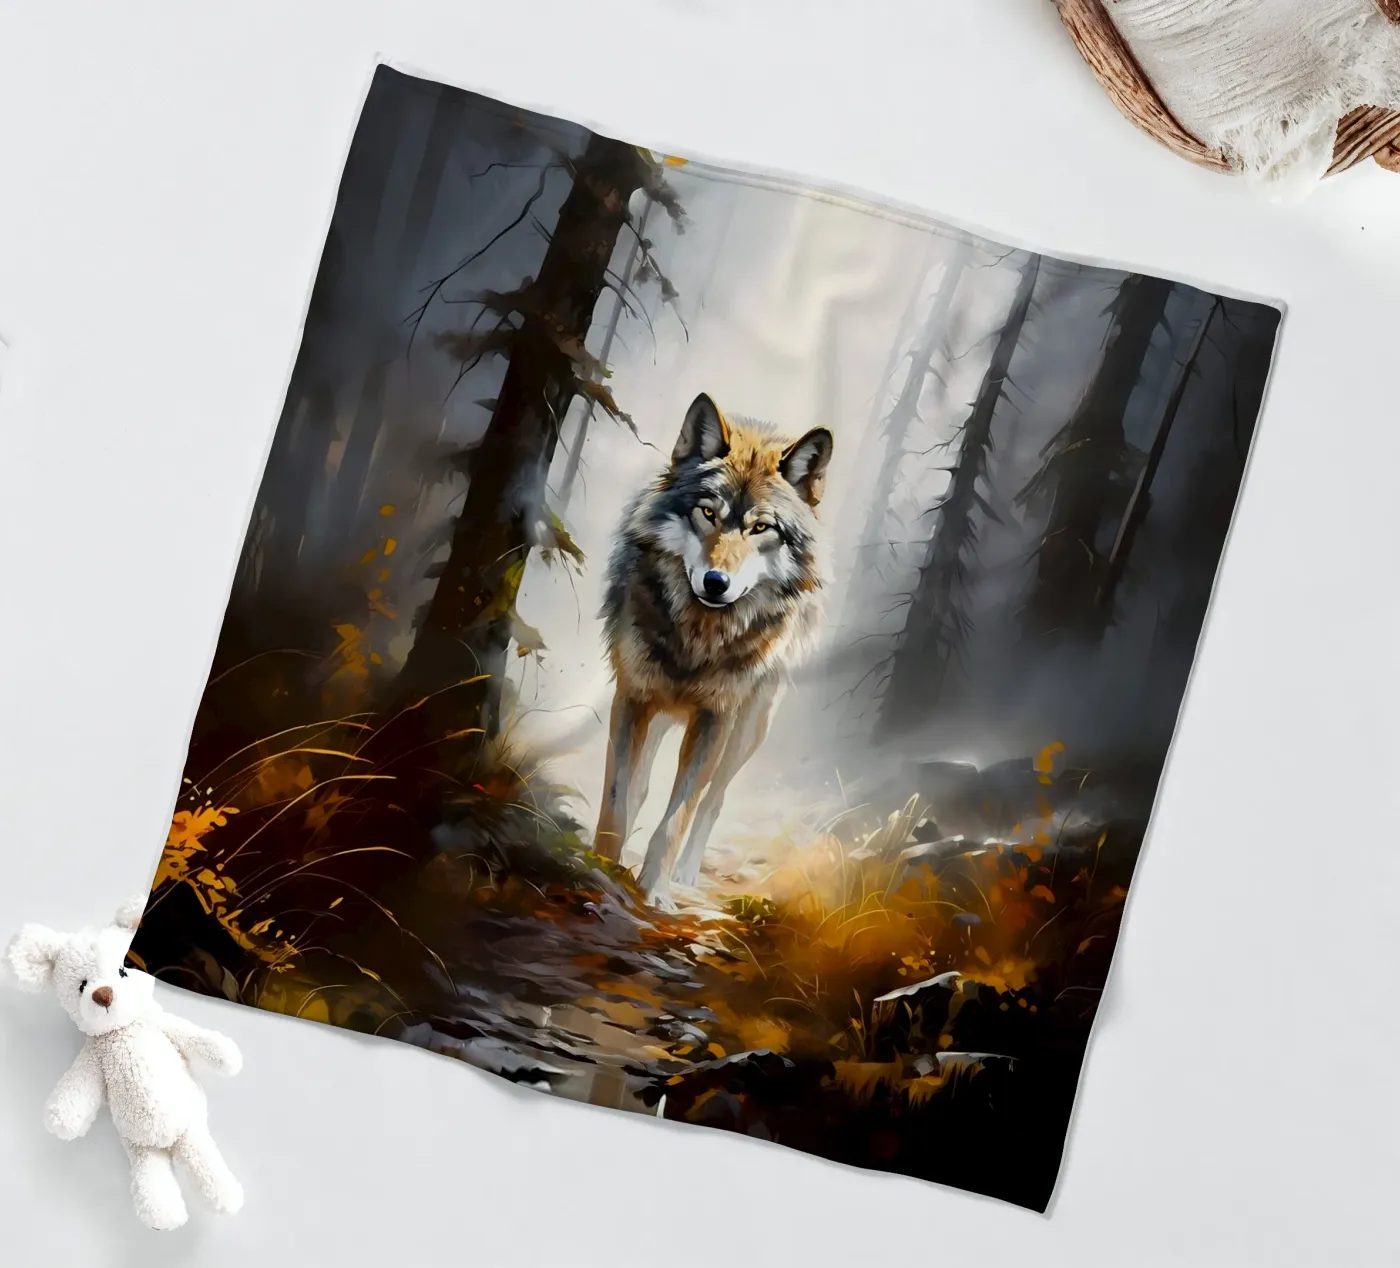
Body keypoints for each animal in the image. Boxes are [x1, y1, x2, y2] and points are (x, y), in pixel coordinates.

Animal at [595, 392, 833, 906]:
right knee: (643, 785)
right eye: (708, 513)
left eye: (761, 528)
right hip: (660, 714)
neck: (698, 638)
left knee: (714, 800)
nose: (715, 582)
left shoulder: (715, 719)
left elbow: (679, 816)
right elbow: (619, 798)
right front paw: (599, 866)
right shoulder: (632, 697)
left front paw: (656, 890)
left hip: (750, 727)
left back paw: (685, 874)